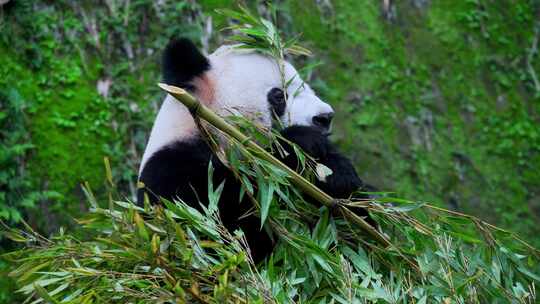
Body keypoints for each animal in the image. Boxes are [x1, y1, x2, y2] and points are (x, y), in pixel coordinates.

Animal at [137, 38, 370, 262]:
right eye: (279, 96)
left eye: (308, 88)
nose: (324, 117)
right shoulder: (173, 177)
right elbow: (236, 231)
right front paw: (302, 143)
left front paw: (339, 174)